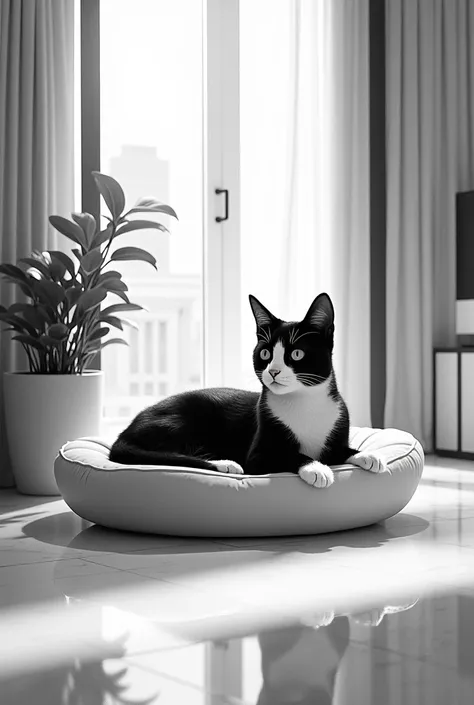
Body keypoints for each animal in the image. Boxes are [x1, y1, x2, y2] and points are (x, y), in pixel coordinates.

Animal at [109, 292, 386, 484]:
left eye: (296, 353)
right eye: (265, 353)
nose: (273, 371)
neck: (303, 402)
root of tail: (124, 433)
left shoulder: (337, 425)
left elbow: (341, 450)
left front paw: (370, 456)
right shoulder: (259, 454)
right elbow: (289, 455)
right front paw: (316, 468)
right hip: (179, 421)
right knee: (174, 455)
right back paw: (225, 464)